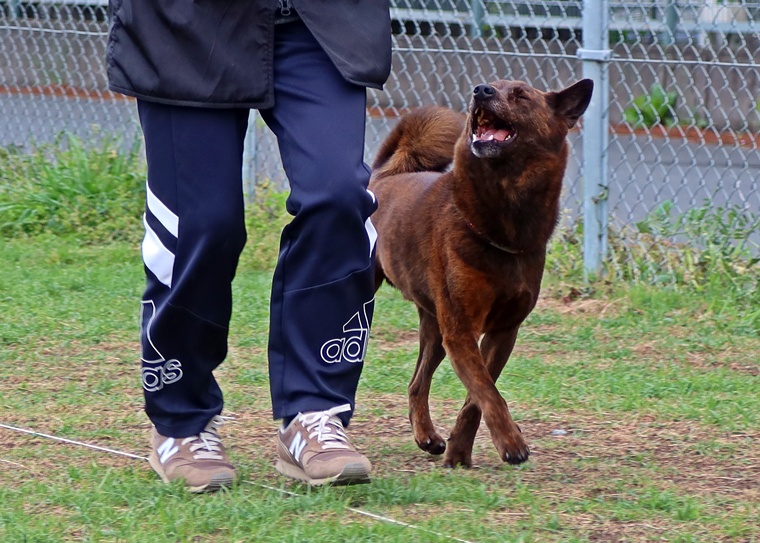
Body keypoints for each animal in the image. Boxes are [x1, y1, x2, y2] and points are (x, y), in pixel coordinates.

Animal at [369, 78, 593, 468]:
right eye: (493, 85)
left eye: (521, 94)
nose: (481, 89)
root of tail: (384, 175)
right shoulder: (461, 330)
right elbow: (488, 390)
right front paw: (512, 442)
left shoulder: (502, 331)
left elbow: (478, 395)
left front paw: (459, 451)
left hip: (434, 329)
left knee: (417, 382)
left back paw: (427, 436)